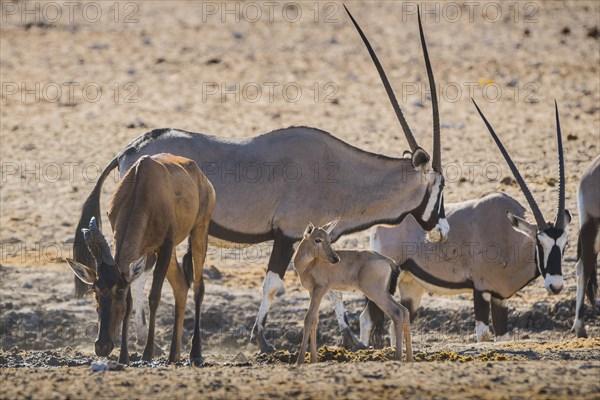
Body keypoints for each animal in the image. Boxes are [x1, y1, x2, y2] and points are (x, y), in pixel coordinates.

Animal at [67, 154, 216, 366]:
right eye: (95, 290)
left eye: (119, 291)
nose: (102, 346)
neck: (142, 182)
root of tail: (198, 173)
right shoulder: (138, 253)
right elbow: (131, 303)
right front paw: (123, 357)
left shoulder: (165, 246)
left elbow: (154, 297)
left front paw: (147, 354)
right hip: (161, 252)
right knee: (181, 285)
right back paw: (173, 355)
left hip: (199, 231)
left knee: (198, 287)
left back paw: (195, 353)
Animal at [294, 220, 412, 364]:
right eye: (318, 239)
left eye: (329, 239)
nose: (335, 259)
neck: (308, 264)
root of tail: (387, 260)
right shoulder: (312, 292)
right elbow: (315, 321)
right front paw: (313, 361)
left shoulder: (320, 290)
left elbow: (308, 318)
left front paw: (300, 361)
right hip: (383, 293)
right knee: (404, 310)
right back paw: (410, 359)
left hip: (375, 293)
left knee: (396, 312)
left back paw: (398, 358)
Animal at [364, 101, 568, 342]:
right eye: (539, 243)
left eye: (565, 244)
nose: (555, 286)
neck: (508, 234)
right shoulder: (481, 290)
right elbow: (483, 335)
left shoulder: (500, 297)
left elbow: (502, 335)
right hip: (386, 280)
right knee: (367, 319)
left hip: (411, 285)